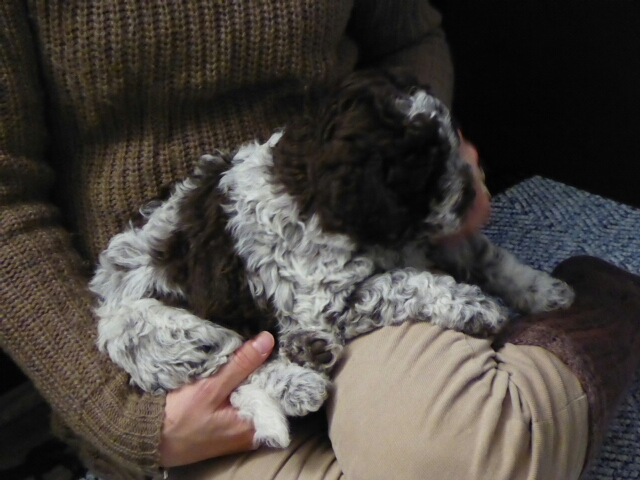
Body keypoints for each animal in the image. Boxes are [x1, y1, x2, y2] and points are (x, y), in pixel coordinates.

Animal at [89, 69, 576, 448]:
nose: (475, 192)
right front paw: (477, 306)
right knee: (232, 364)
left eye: (453, 147)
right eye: (424, 170)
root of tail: (103, 300)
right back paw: (300, 379)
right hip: (167, 334)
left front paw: (545, 291)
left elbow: (492, 258)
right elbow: (409, 282)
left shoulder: (437, 240)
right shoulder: (320, 303)